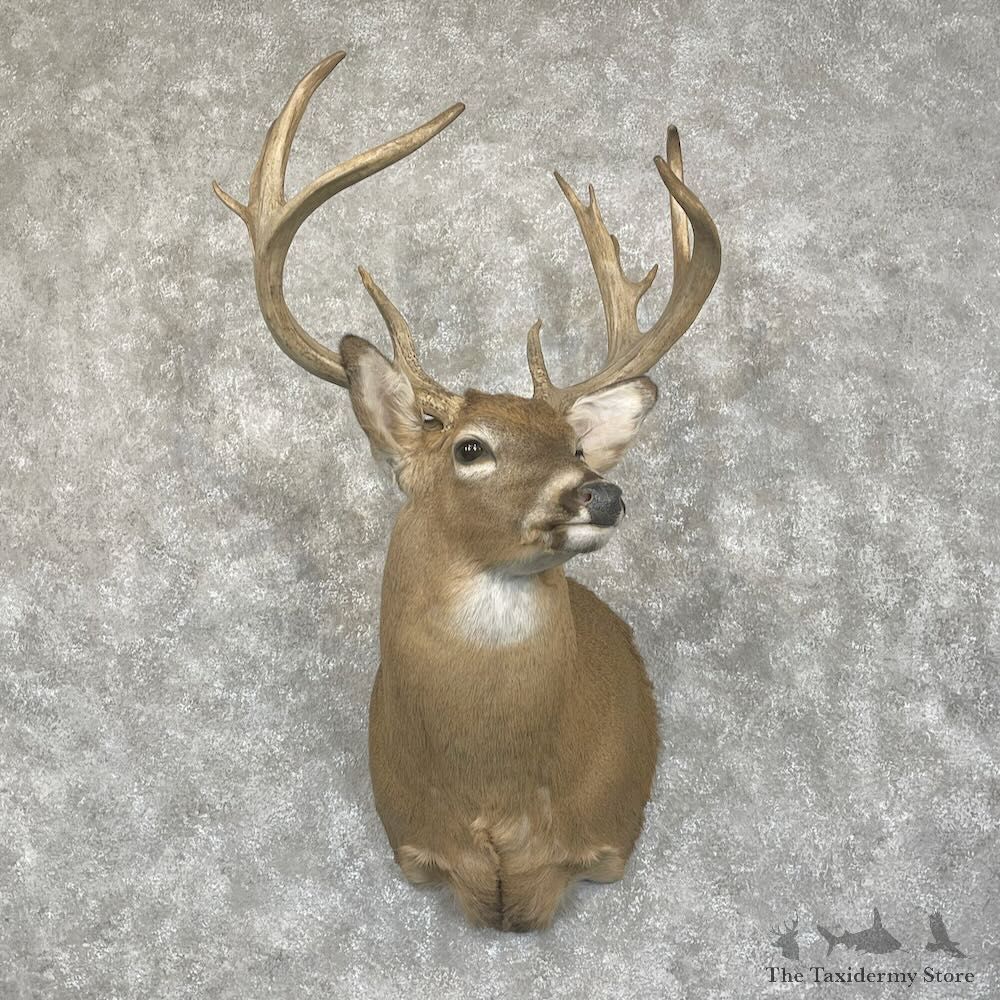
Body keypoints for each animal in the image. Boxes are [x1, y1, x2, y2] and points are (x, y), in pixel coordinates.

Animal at [212, 51, 721, 932]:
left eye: (575, 443)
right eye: (470, 448)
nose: (601, 494)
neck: (495, 798)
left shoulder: (609, 844)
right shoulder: (413, 849)